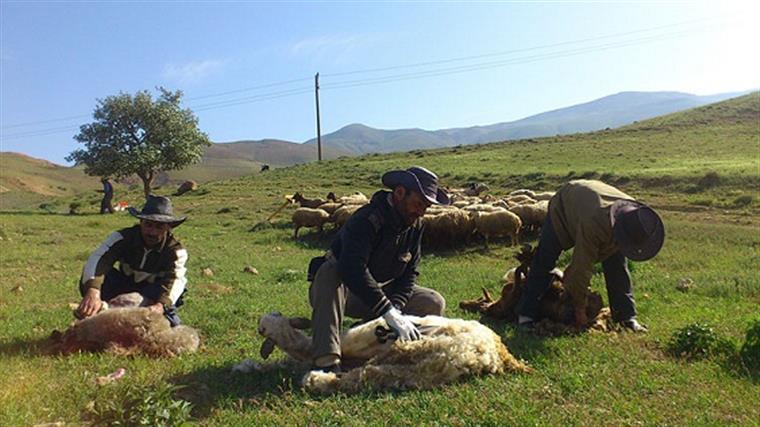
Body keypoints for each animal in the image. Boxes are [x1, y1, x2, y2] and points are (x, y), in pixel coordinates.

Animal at [255, 310, 528, 394]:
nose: (261, 328)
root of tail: (501, 355)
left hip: (418, 352)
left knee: (364, 376)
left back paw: (315, 380)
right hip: (427, 368)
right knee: (378, 376)